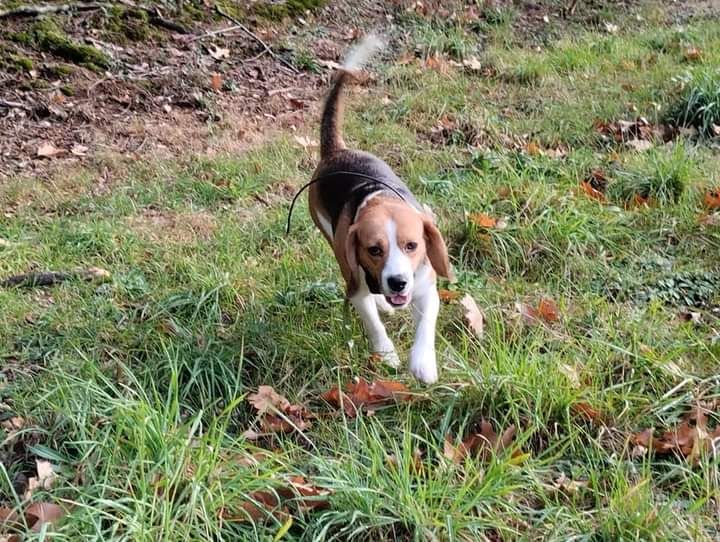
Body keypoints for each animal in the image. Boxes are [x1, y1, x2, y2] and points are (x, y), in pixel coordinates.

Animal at [306, 36, 452, 384]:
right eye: (374, 249)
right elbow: (372, 321)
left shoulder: (426, 286)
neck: (381, 200)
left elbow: (426, 325)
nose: (397, 282)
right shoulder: (356, 288)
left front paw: (423, 363)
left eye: (412, 245)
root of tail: (337, 151)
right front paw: (386, 353)